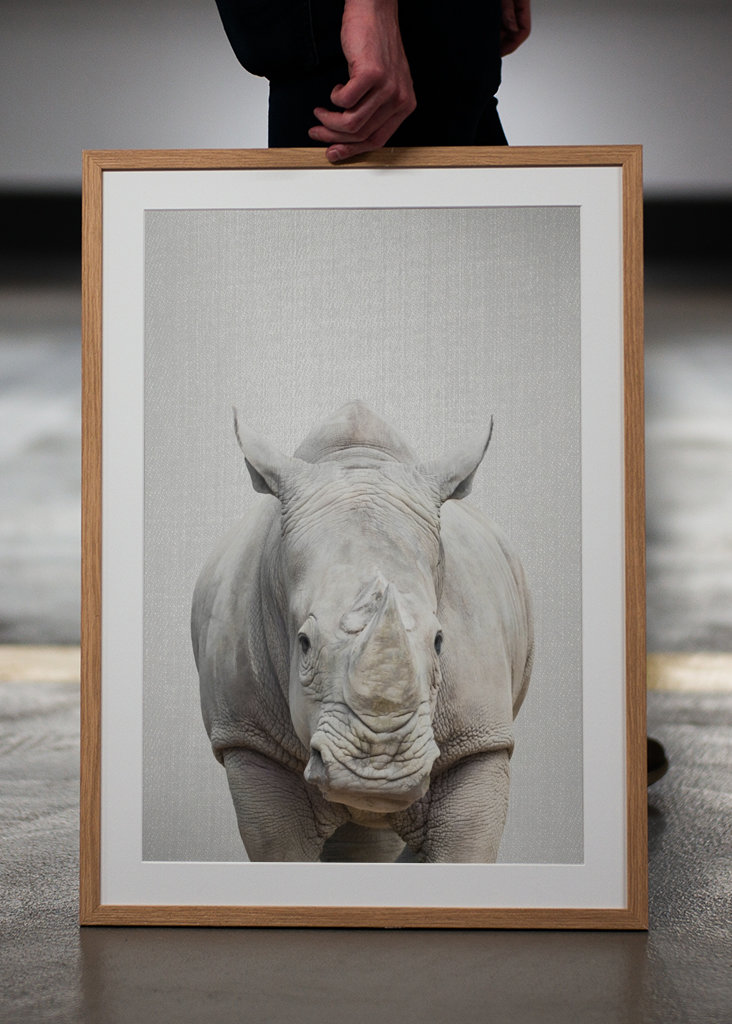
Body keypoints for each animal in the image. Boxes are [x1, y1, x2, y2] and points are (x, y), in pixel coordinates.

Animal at [191, 401, 532, 863]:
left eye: (440, 642)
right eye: (303, 644)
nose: (377, 772)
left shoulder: (480, 739)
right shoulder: (248, 736)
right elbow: (280, 847)